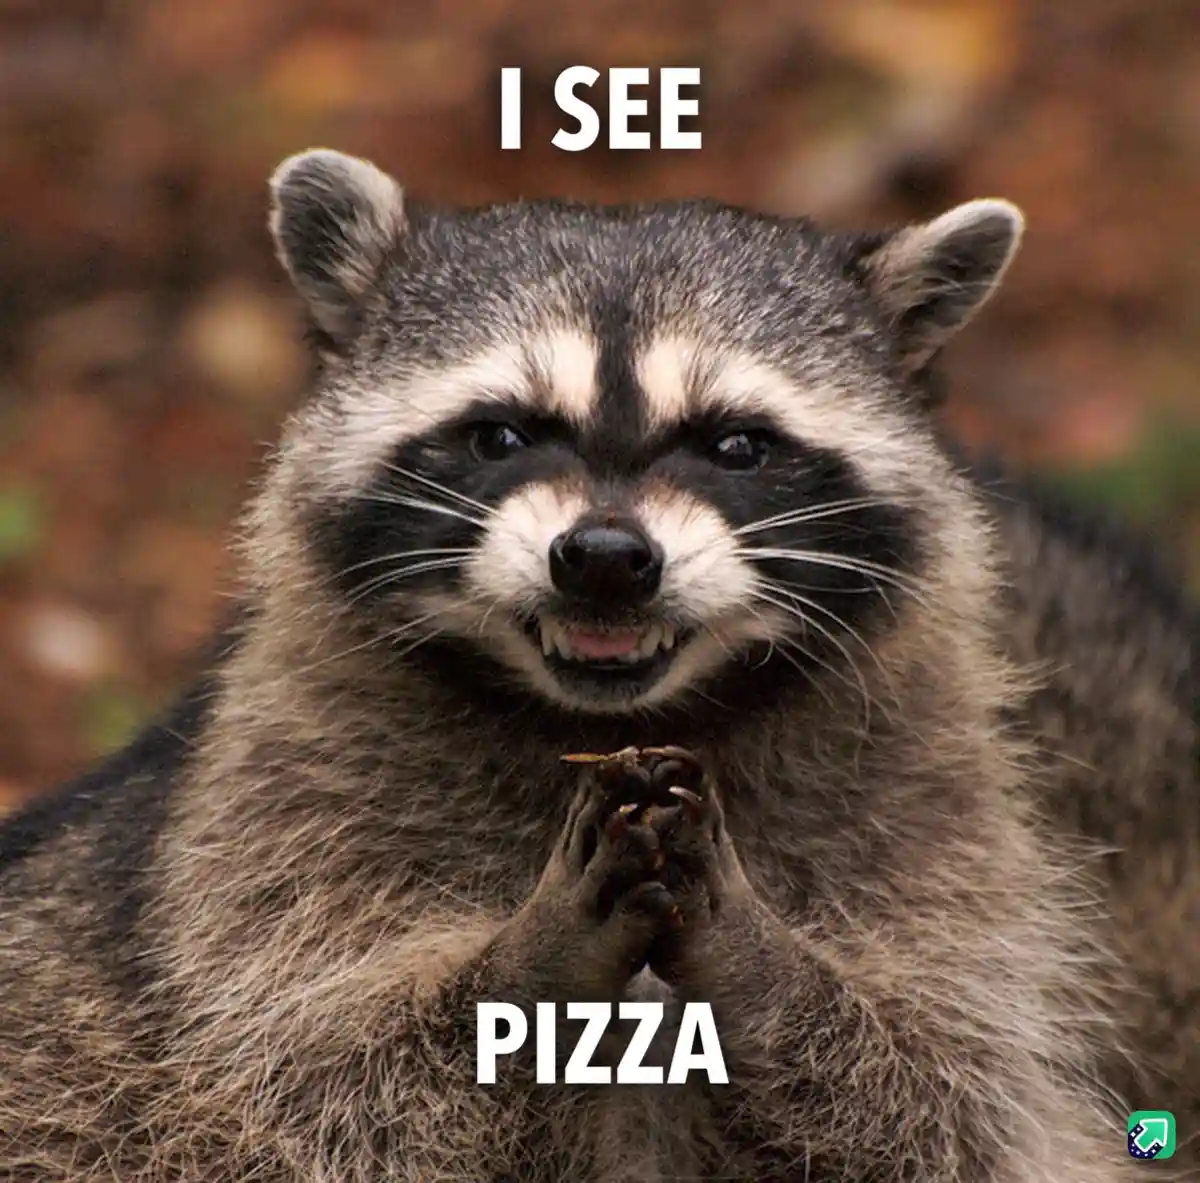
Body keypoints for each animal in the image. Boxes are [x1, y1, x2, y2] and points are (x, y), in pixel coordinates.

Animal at [0, 147, 1194, 1181]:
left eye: (736, 444)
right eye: (500, 434)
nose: (607, 559)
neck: (607, 718)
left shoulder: (927, 814)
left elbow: (943, 1100)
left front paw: (763, 967)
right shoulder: (273, 830)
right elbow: (329, 1082)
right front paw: (524, 969)